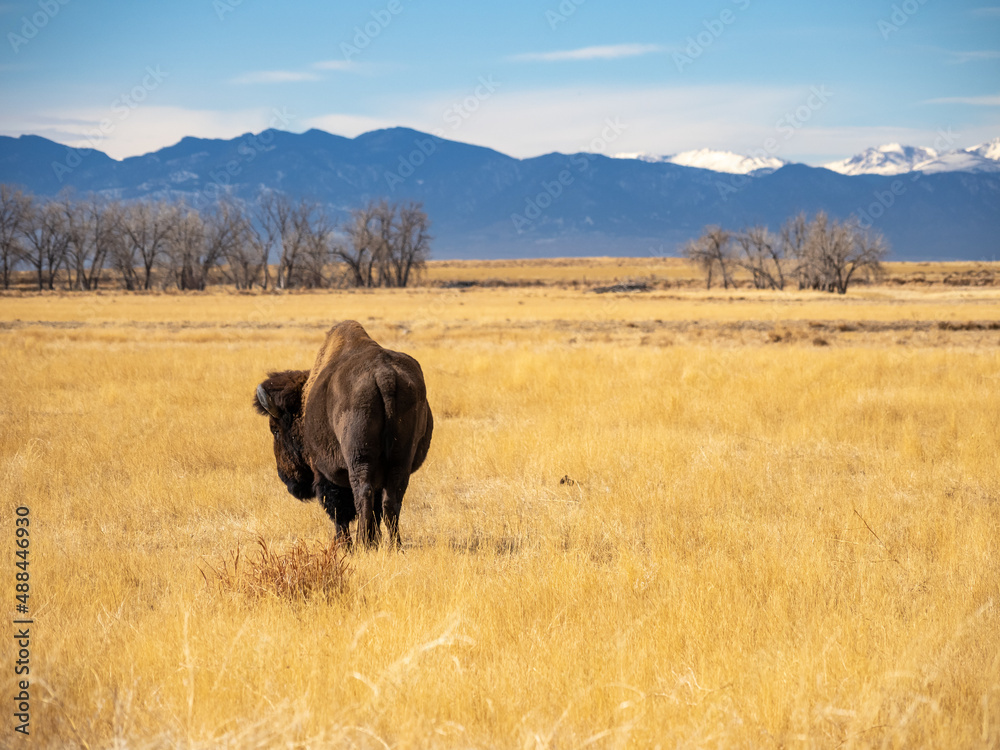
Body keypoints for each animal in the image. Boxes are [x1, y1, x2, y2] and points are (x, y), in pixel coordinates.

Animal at [252, 320, 432, 548]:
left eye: (275, 430)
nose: (286, 478)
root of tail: (385, 376)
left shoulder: (324, 471)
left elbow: (337, 509)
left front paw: (343, 545)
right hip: (401, 457)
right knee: (391, 498)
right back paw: (393, 545)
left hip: (358, 456)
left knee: (363, 492)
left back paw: (363, 543)